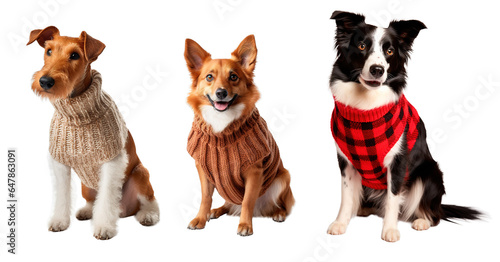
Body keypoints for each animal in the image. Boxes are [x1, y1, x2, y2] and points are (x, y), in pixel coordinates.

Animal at [27, 26, 160, 239]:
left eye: (74, 55)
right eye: (48, 51)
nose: (45, 81)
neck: (77, 115)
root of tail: (124, 211)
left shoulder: (112, 162)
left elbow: (106, 199)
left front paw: (104, 228)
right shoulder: (60, 163)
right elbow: (62, 196)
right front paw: (59, 221)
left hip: (140, 174)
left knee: (149, 201)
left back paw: (148, 215)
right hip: (87, 187)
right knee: (93, 202)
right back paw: (86, 211)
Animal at [184, 34, 292, 235]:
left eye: (233, 77)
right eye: (209, 77)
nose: (221, 93)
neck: (222, 125)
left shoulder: (254, 170)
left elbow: (248, 201)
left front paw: (245, 225)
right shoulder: (202, 167)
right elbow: (205, 197)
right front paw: (200, 218)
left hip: (283, 177)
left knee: (281, 205)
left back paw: (278, 213)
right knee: (229, 204)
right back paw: (216, 211)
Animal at [328, 11, 480, 242]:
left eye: (389, 51)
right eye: (362, 46)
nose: (377, 69)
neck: (366, 108)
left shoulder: (399, 162)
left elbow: (393, 198)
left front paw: (390, 230)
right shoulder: (346, 161)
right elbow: (346, 197)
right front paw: (340, 223)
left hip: (429, 173)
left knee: (431, 213)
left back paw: (422, 220)